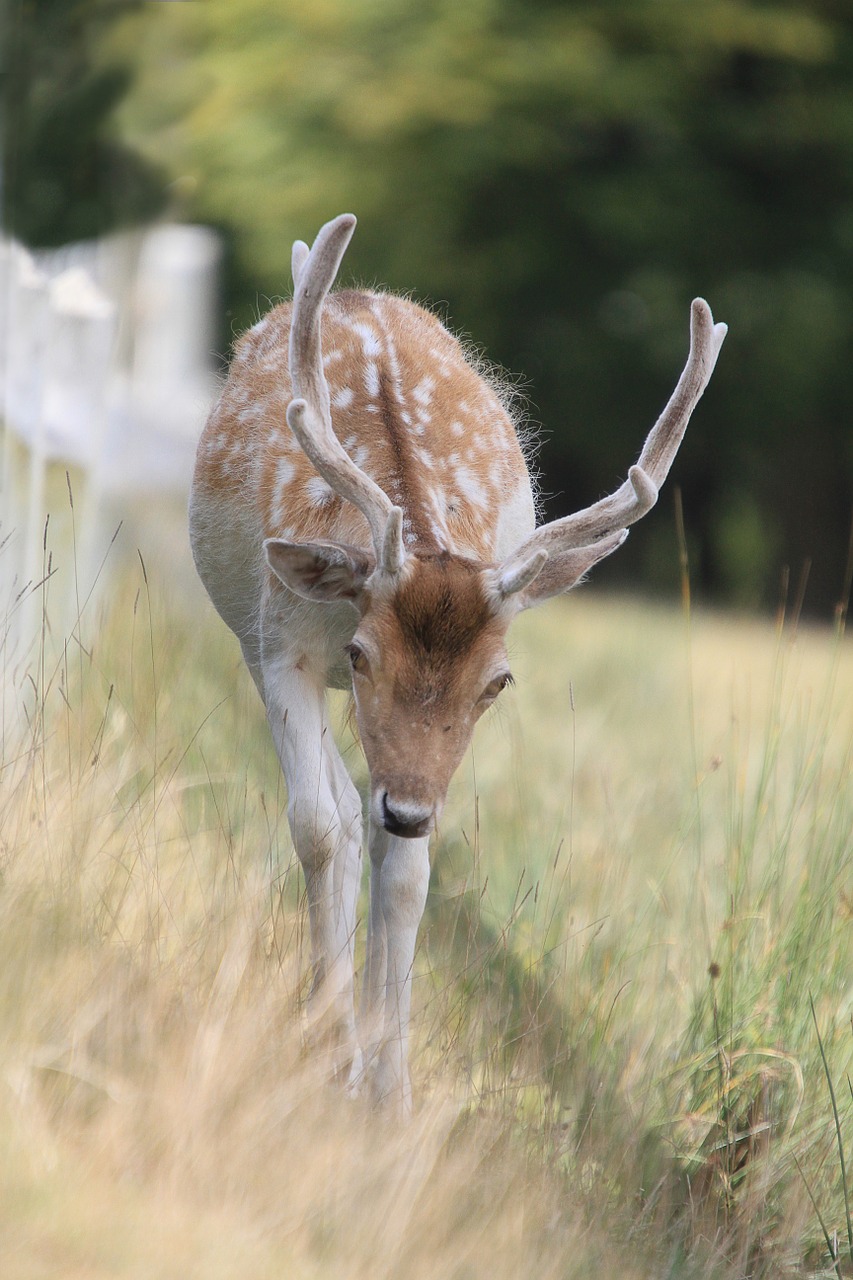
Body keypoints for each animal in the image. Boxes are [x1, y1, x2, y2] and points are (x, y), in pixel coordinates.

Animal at [188, 209, 722, 1111]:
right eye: (361, 652)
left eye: (498, 682)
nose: (408, 809)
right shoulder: (278, 643)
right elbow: (316, 827)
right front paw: (327, 1044)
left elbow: (407, 875)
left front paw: (389, 1091)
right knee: (340, 811)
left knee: (367, 827)